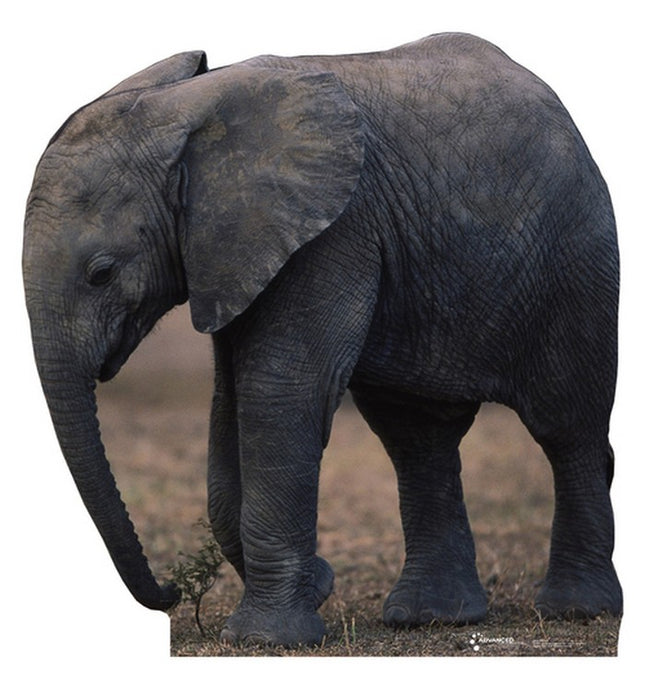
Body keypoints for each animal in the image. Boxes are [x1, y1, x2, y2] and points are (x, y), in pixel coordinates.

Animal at [23, 32, 622, 647]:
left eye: (101, 273)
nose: (168, 592)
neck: (185, 115)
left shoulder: (333, 229)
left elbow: (278, 390)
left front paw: (268, 639)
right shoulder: (237, 250)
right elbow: (231, 401)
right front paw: (313, 589)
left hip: (576, 259)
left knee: (566, 425)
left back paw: (576, 609)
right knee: (418, 438)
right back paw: (431, 618)